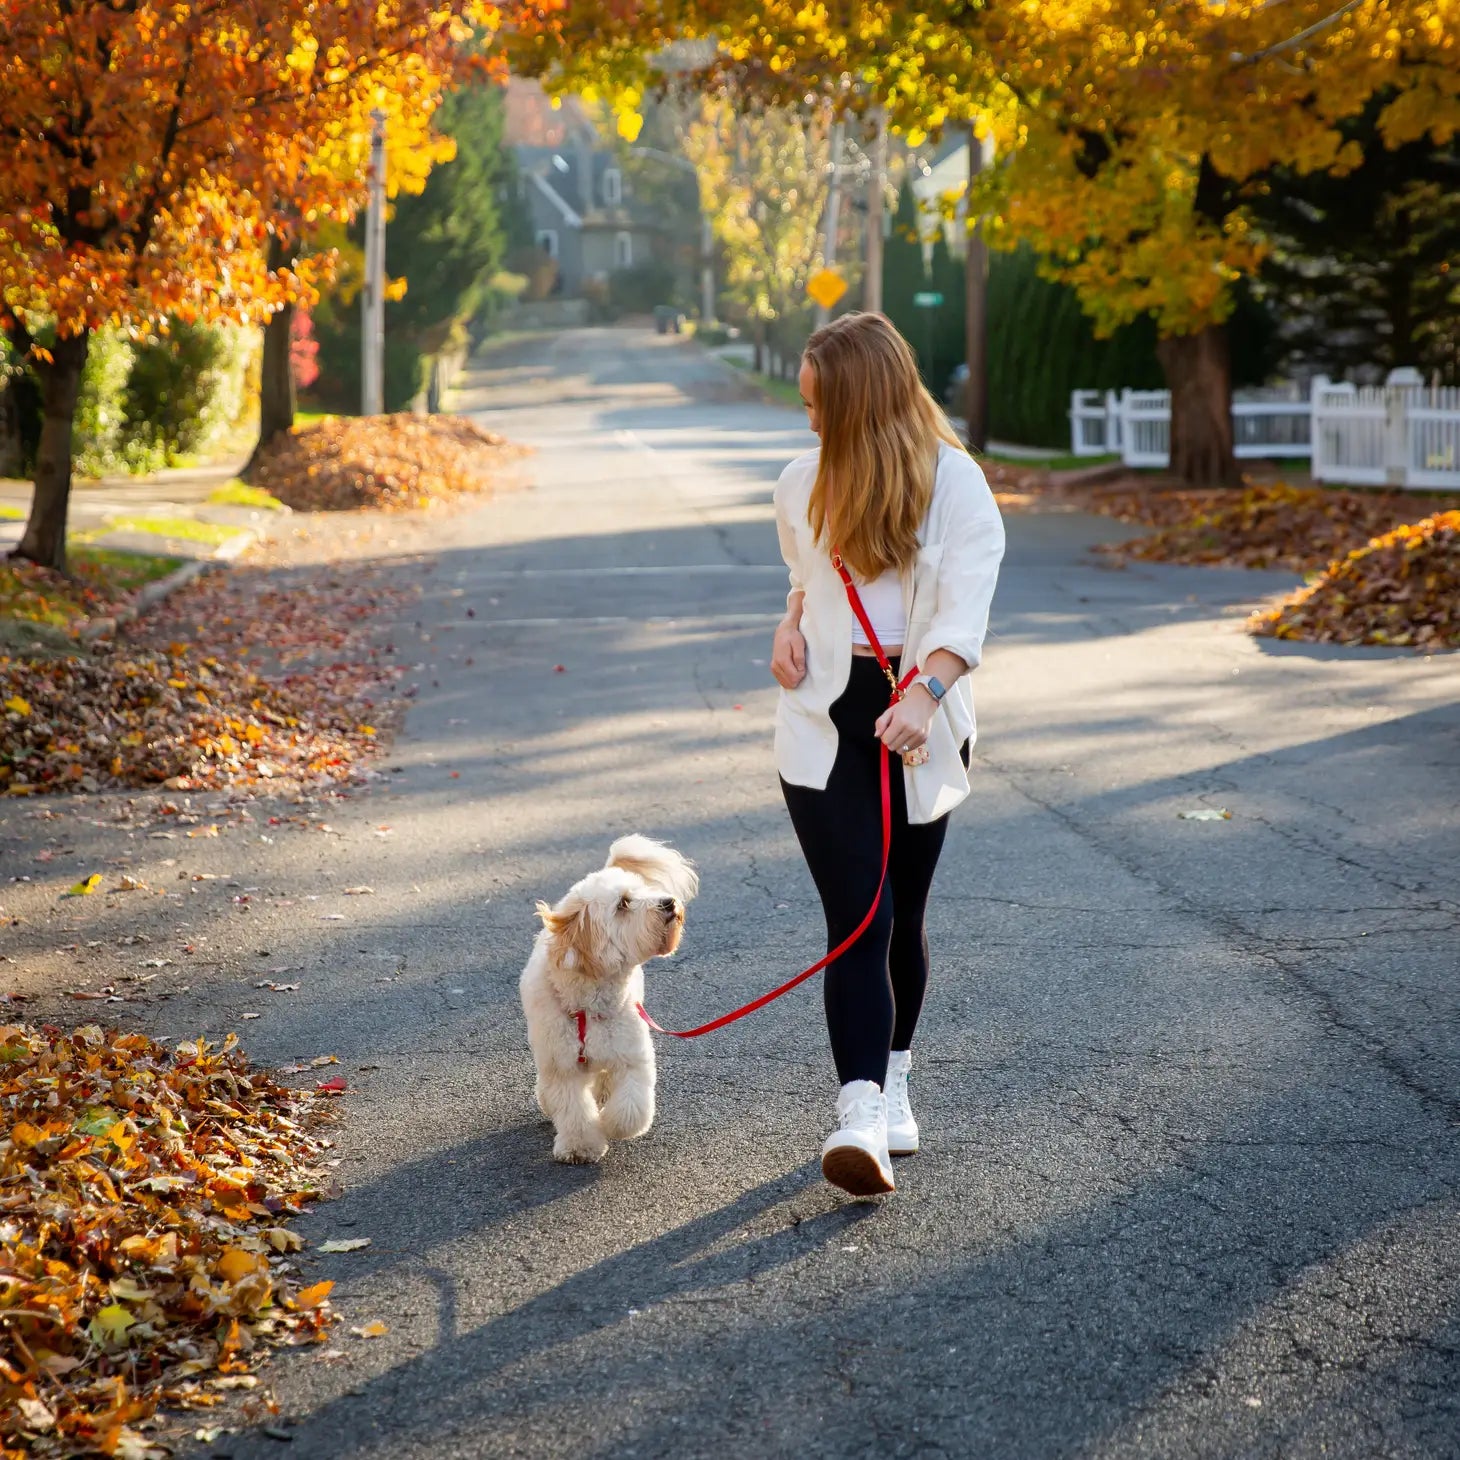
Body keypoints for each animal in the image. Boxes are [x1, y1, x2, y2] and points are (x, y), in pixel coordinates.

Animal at [522, 835, 697, 1162]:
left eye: (645, 890)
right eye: (623, 903)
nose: (668, 902)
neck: (588, 1006)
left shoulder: (631, 1054)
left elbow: (631, 1107)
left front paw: (612, 1125)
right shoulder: (562, 1066)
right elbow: (573, 1111)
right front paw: (580, 1147)